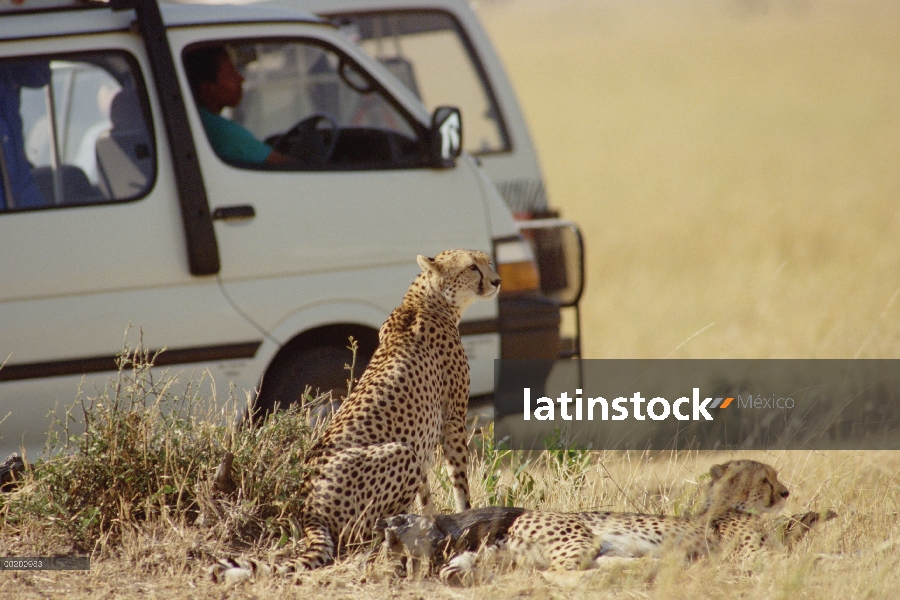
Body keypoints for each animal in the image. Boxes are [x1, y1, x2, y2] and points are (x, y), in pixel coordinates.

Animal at [212, 248, 502, 580]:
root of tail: (309, 510)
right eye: (472, 266)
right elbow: (459, 481)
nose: (497, 281)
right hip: (401, 453)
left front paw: (432, 523)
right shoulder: (452, 418)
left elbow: (426, 495)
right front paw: (464, 514)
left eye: (487, 262)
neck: (428, 299)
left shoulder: (426, 436)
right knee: (357, 538)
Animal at [374, 460, 836, 580]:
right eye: (767, 478)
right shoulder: (749, 553)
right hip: (579, 540)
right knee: (559, 574)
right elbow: (791, 553)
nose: (785, 491)